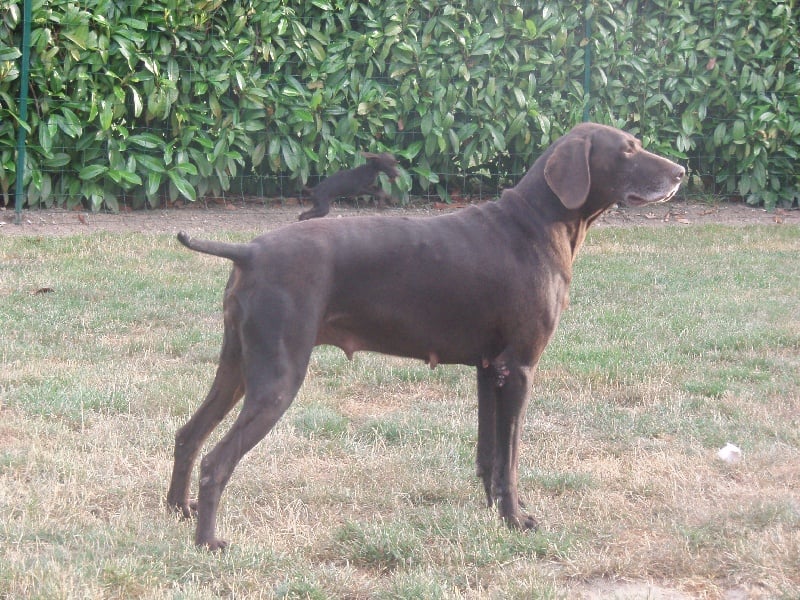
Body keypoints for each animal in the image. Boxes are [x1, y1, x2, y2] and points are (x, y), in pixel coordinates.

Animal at [167, 123, 684, 550]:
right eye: (627, 149)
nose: (682, 171)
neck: (537, 223)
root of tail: (249, 250)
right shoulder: (519, 367)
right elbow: (511, 458)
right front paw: (516, 519)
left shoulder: (489, 369)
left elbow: (490, 455)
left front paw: (494, 511)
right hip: (278, 377)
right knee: (216, 462)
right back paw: (208, 541)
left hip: (237, 367)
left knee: (188, 434)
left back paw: (178, 509)